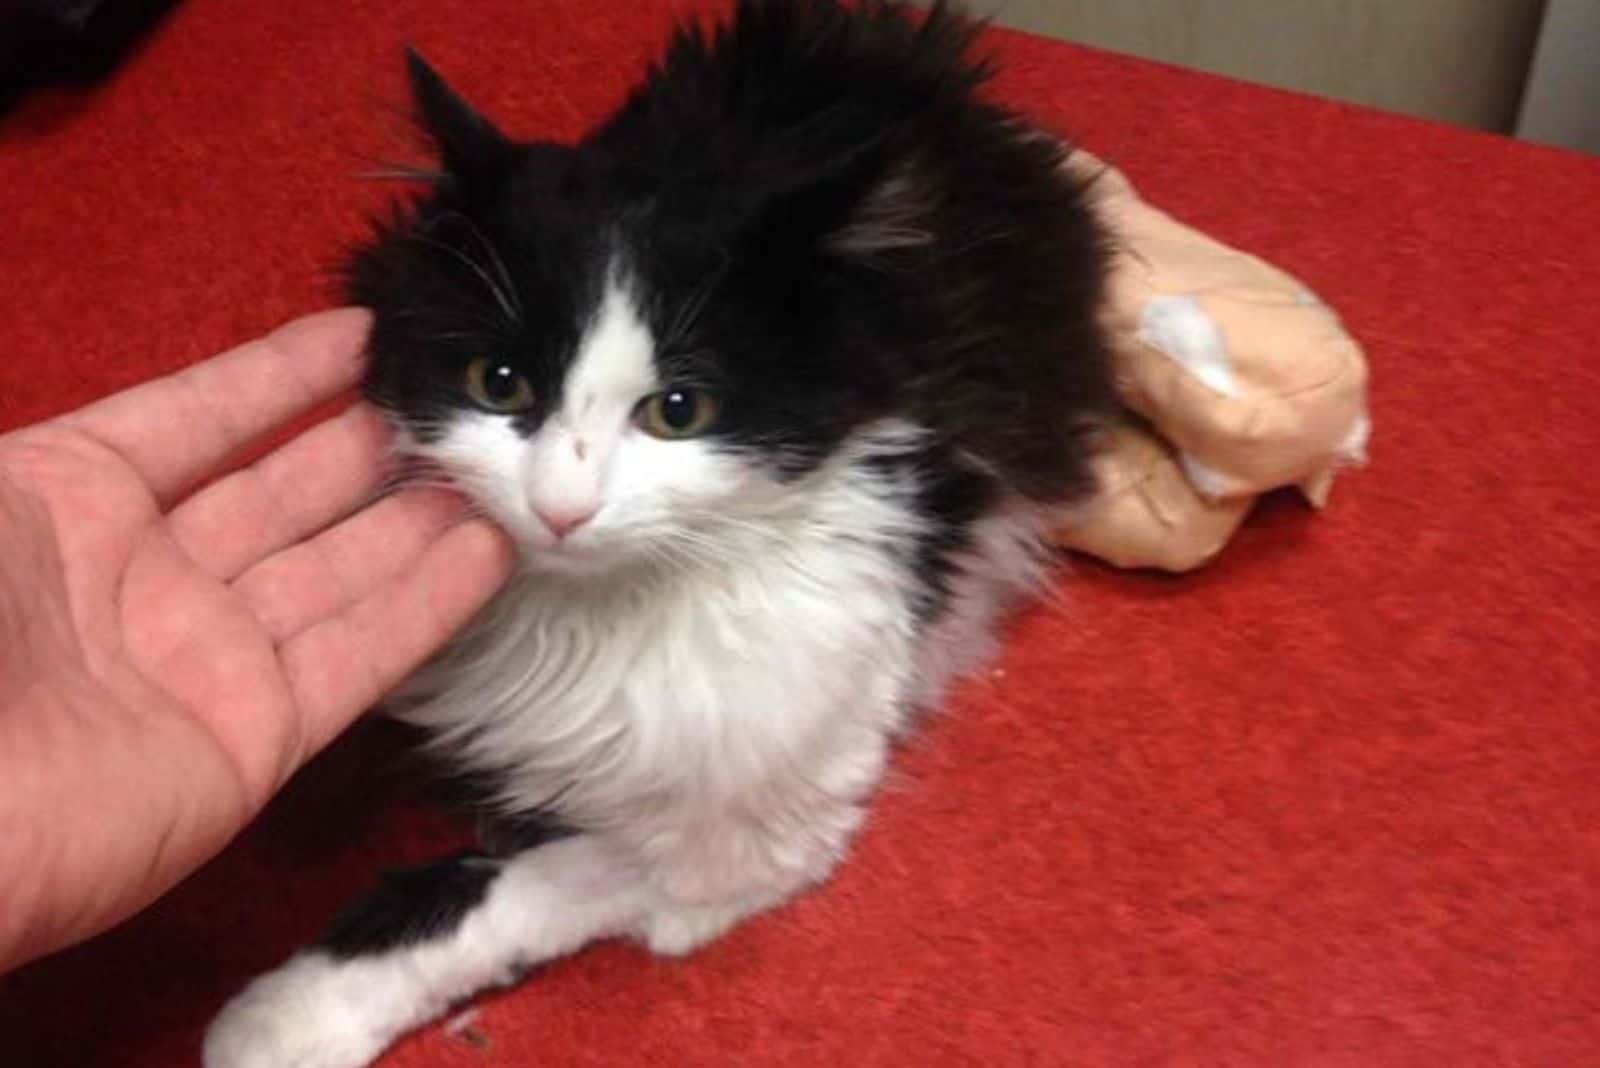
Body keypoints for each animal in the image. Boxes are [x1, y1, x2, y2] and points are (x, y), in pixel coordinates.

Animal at [203, 4, 1113, 1061]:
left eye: (680, 411)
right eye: (498, 385)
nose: (561, 507)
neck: (595, 615)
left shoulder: (765, 809)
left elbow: (511, 888)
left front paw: (285, 1018)